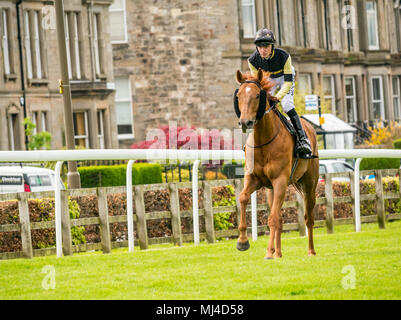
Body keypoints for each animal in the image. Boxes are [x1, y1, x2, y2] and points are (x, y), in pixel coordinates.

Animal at [233, 69, 318, 258]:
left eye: (258, 95)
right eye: (239, 95)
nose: (245, 122)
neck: (264, 140)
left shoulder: (280, 180)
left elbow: (272, 218)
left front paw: (267, 252)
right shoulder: (254, 179)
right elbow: (243, 198)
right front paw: (242, 241)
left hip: (309, 183)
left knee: (308, 217)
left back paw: (310, 251)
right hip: (271, 189)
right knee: (279, 217)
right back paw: (277, 253)